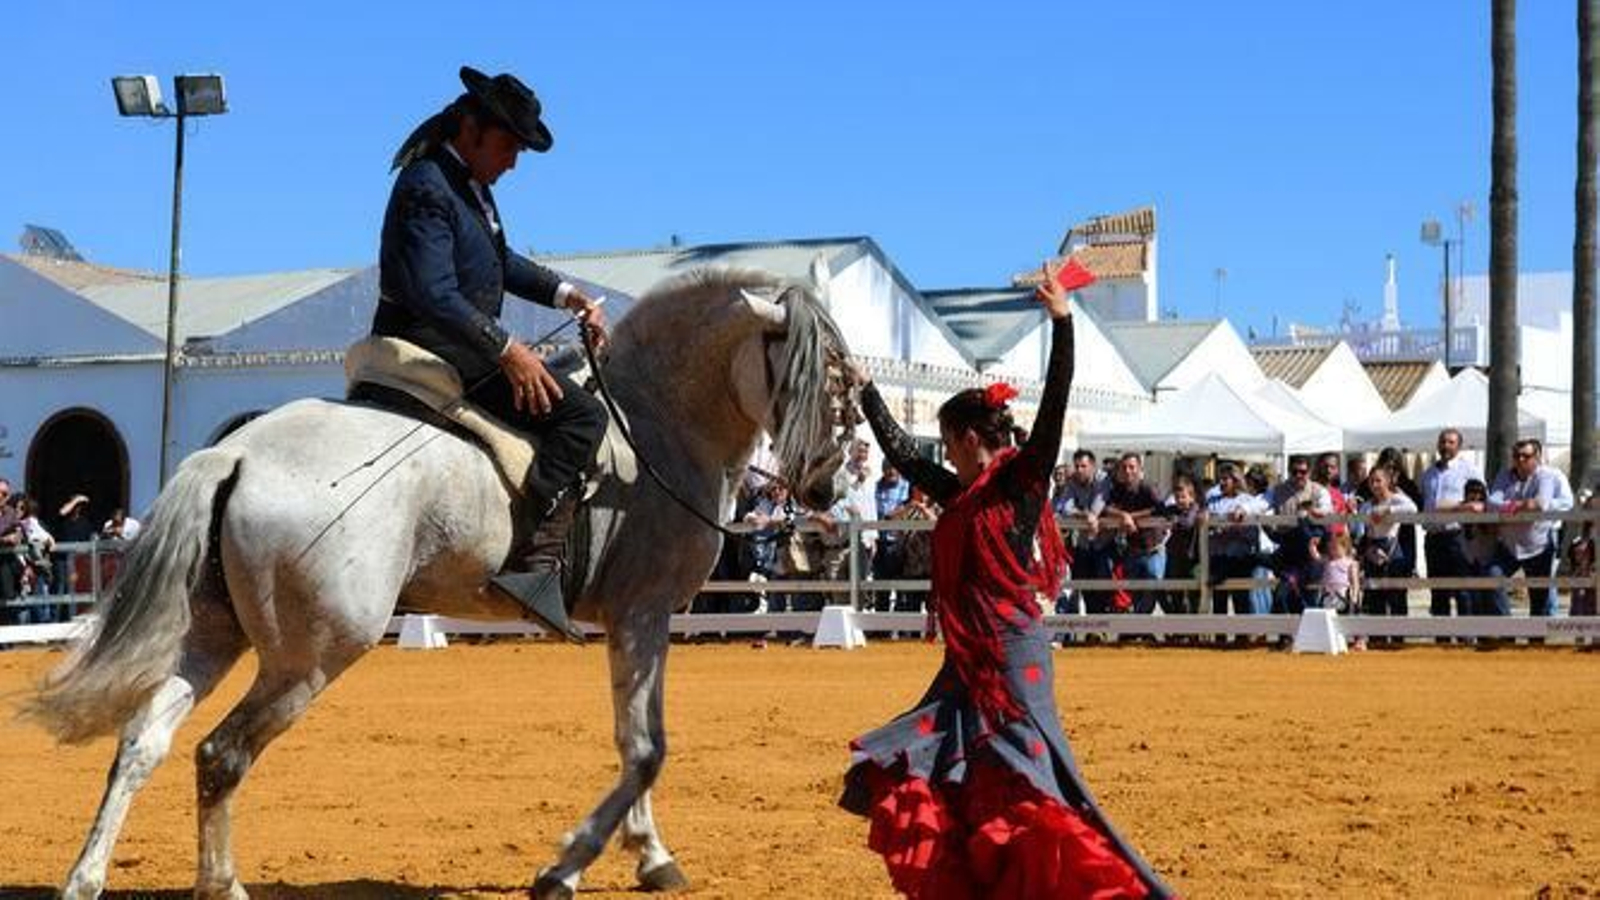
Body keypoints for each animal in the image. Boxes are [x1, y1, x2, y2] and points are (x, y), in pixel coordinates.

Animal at [25, 266, 854, 900]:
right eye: (824, 382)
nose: (824, 489)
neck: (655, 424)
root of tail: (237, 454)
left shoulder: (639, 622)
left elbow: (637, 737)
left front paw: (650, 855)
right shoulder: (642, 612)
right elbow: (645, 745)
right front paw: (566, 867)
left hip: (213, 634)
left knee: (143, 742)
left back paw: (87, 879)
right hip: (311, 657)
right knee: (220, 755)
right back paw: (220, 884)